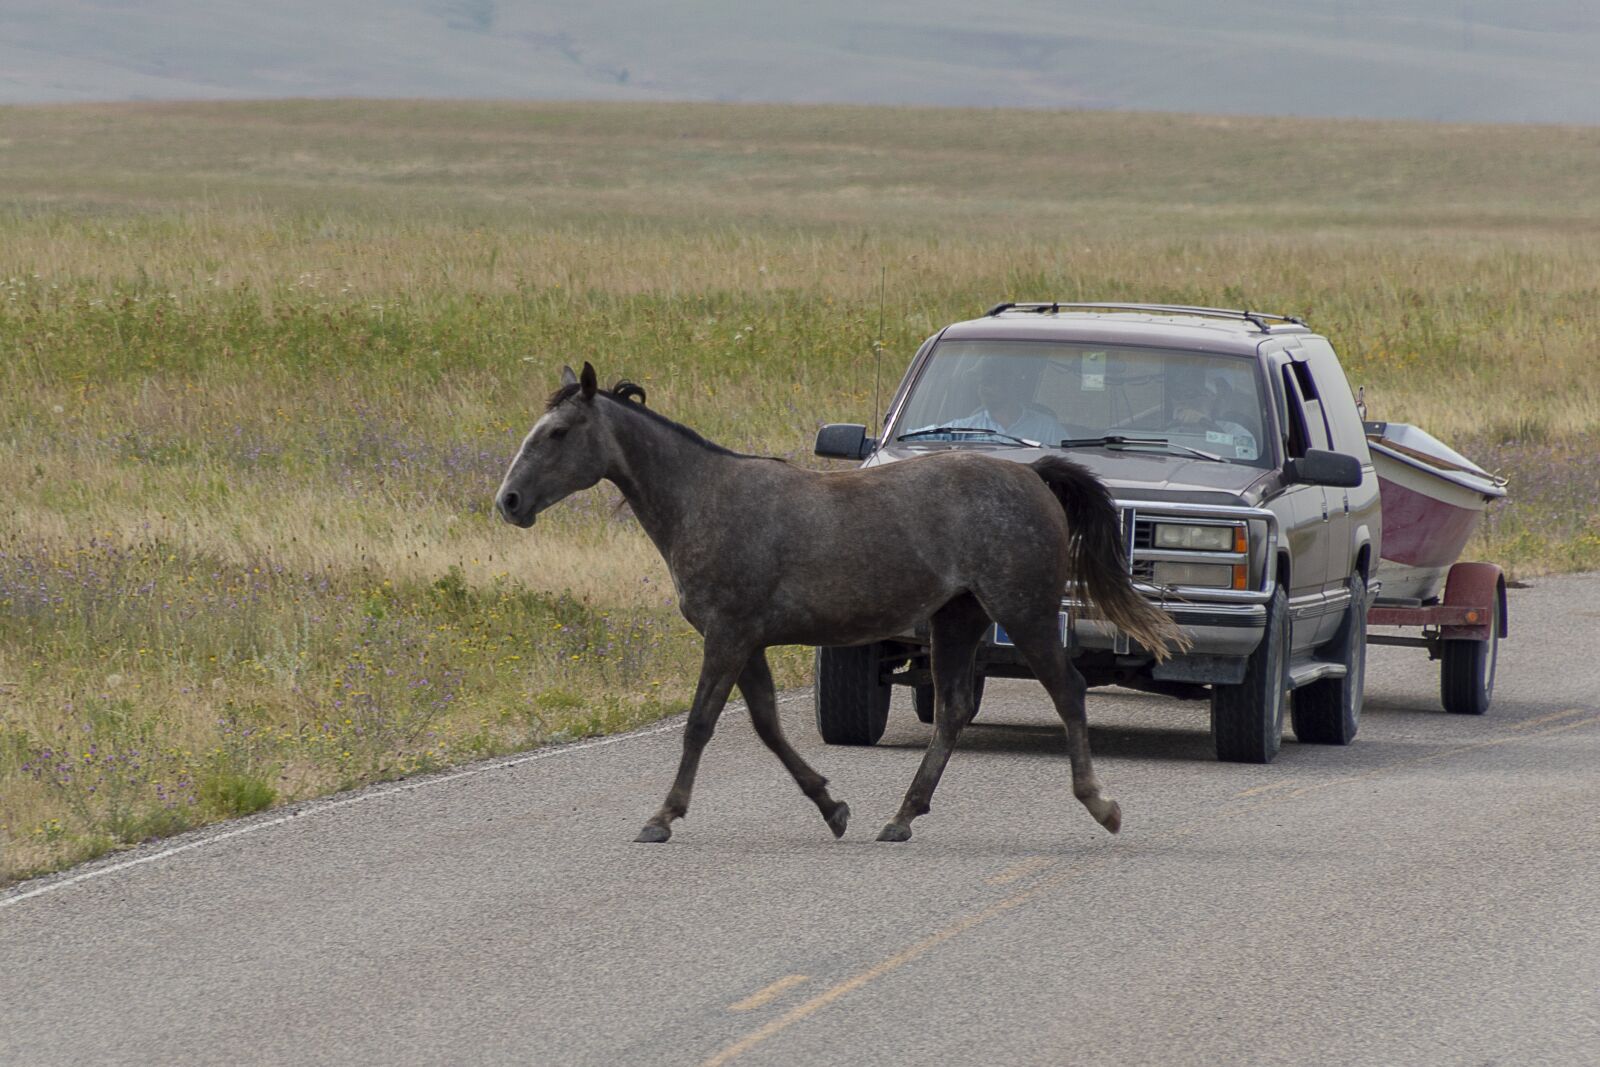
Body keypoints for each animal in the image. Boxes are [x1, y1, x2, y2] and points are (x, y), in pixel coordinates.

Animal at [495, 363, 1183, 844]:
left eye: (557, 433)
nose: (509, 501)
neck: (704, 499)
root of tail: (1033, 474)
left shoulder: (726, 636)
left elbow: (699, 725)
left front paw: (662, 817)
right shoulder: (747, 642)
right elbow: (768, 726)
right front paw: (833, 808)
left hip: (1026, 614)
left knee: (1067, 691)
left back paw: (1101, 805)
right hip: (958, 620)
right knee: (955, 709)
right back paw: (902, 817)